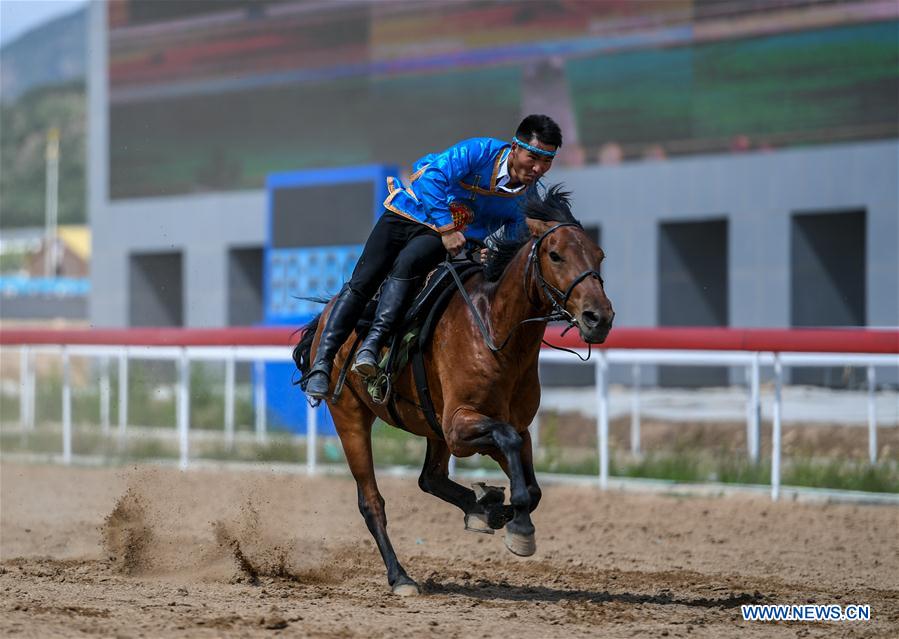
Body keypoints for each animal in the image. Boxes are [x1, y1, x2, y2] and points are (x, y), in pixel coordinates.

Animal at [294, 188, 612, 596]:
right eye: (555, 254)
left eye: (599, 255)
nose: (599, 317)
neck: (495, 330)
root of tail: (327, 314)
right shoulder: (460, 425)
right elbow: (507, 445)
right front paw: (516, 523)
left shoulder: (511, 426)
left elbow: (530, 480)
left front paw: (497, 507)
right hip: (351, 417)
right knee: (372, 501)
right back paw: (401, 577)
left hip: (431, 424)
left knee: (429, 478)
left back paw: (479, 506)